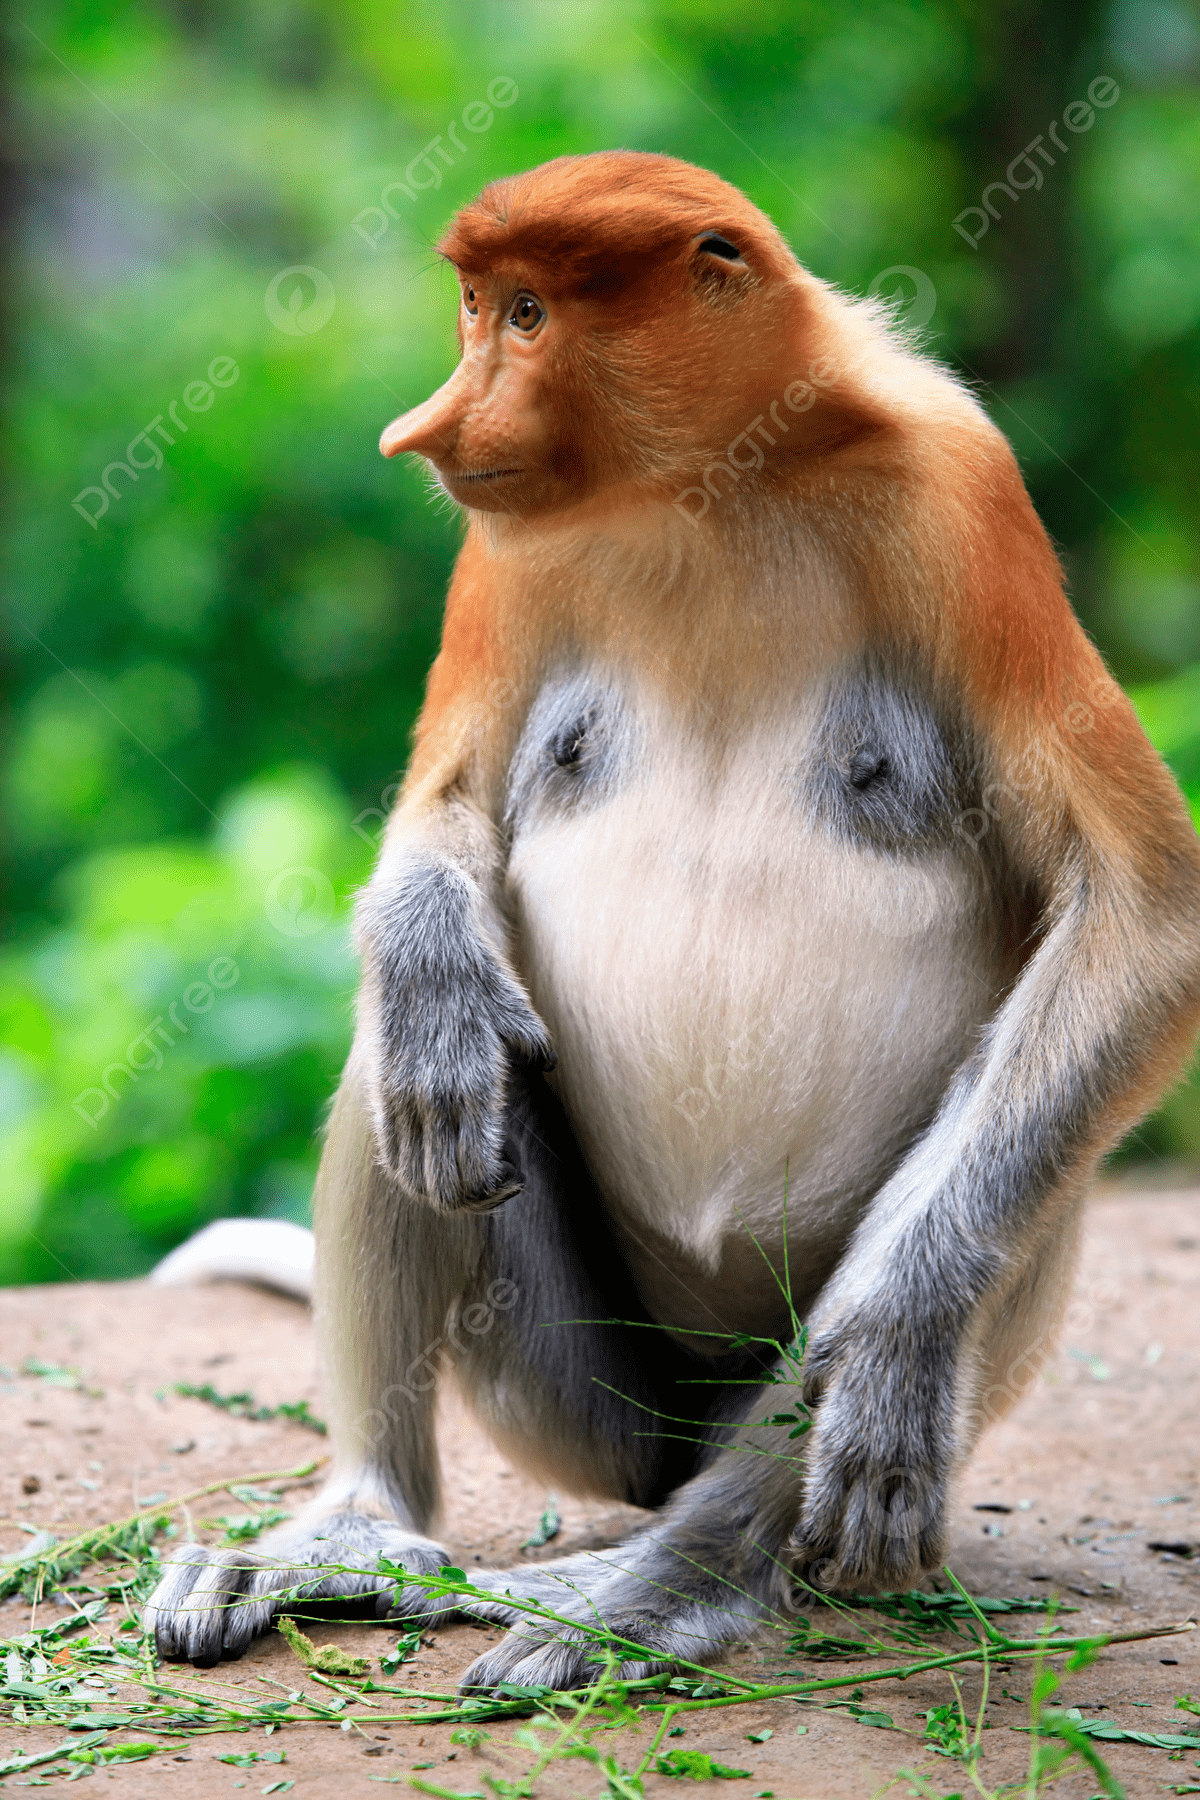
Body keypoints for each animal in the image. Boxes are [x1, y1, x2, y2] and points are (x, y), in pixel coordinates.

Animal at [145, 151, 1200, 1692]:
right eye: (476, 308)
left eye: (527, 313)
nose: (426, 428)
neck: (711, 483)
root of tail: (671, 1446)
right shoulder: (504, 546)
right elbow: (447, 808)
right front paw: (436, 974)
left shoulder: (963, 493)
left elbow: (1141, 906)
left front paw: (893, 1344)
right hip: (579, 1399)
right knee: (405, 1077)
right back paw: (356, 1527)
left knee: (1015, 1164)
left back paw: (663, 1582)